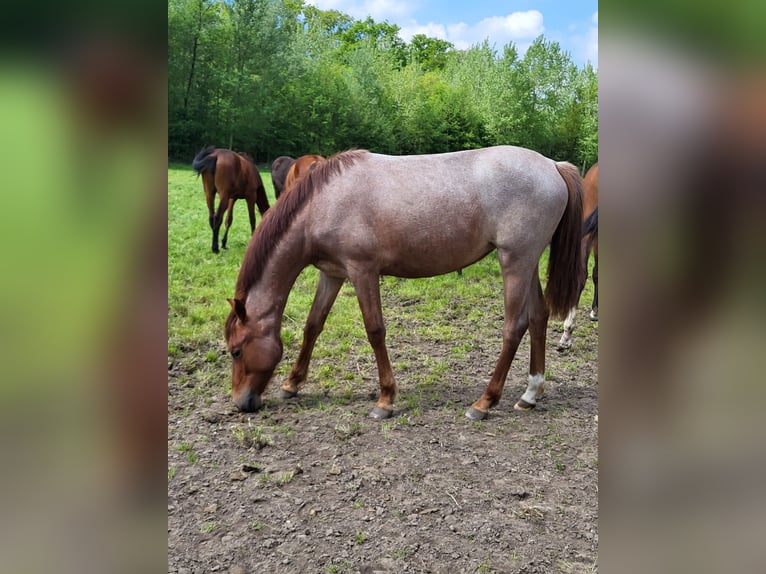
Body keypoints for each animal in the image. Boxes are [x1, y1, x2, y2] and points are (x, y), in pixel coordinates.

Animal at [225, 146, 584, 420]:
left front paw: (385, 399)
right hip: (528, 262)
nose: (241, 403)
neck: (326, 201)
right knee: (538, 317)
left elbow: (375, 331)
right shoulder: (333, 273)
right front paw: (292, 384)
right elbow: (313, 325)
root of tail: (553, 165)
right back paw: (530, 394)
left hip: (515, 262)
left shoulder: (362, 271)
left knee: (514, 326)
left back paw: (484, 402)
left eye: (236, 351)